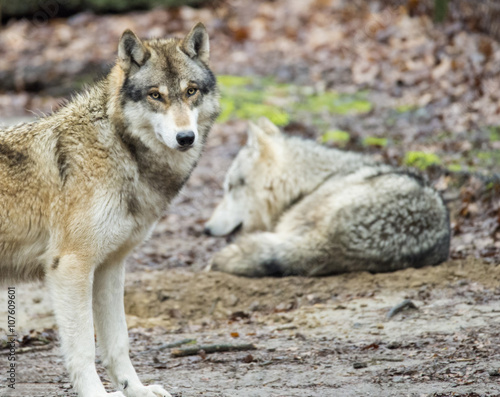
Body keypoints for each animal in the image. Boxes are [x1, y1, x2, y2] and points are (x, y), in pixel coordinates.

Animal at [0, 23, 219, 394]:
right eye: (155, 95)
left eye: (190, 91)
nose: (185, 138)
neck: (120, 148)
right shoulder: (71, 266)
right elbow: (83, 349)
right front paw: (97, 393)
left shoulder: (110, 266)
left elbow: (118, 342)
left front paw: (136, 390)